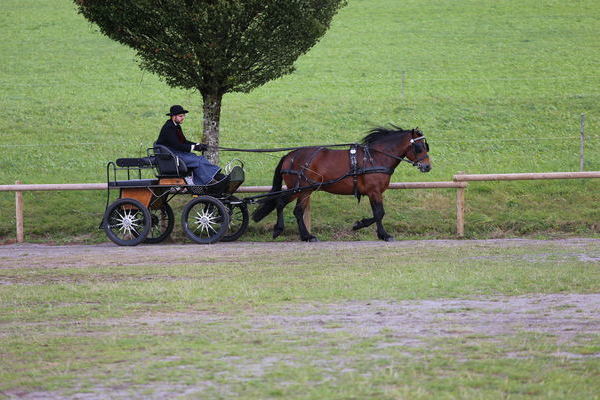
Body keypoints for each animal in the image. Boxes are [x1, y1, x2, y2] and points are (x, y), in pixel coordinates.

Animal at [252, 126, 432, 242]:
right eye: (418, 147)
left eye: (426, 146)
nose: (427, 166)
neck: (375, 157)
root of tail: (289, 156)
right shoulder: (374, 191)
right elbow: (379, 213)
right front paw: (363, 226)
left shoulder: (374, 192)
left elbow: (378, 213)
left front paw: (380, 233)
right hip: (298, 189)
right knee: (281, 202)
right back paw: (279, 230)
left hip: (305, 190)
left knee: (297, 211)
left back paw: (306, 236)